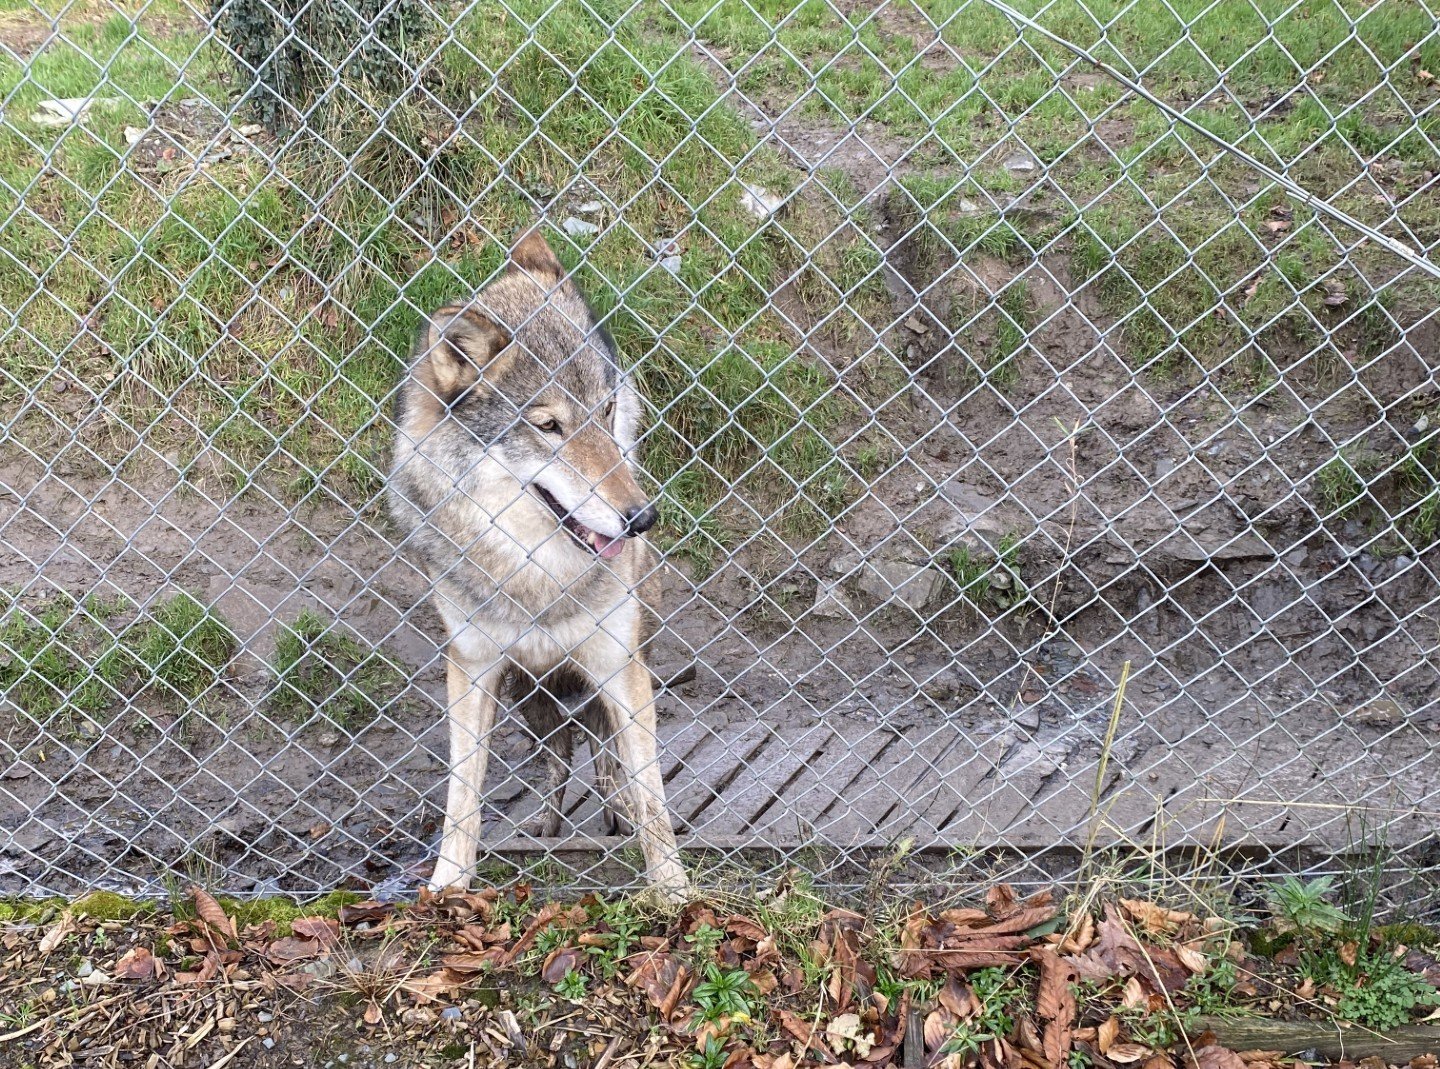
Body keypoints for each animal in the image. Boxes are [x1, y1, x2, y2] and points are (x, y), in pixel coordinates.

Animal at [388, 229, 689, 900]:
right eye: (549, 426)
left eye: (606, 411)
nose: (642, 518)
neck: (537, 577)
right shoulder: (472, 667)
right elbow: (462, 796)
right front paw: (448, 887)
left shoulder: (618, 664)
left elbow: (653, 795)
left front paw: (677, 894)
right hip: (529, 696)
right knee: (561, 754)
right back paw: (550, 827)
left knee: (604, 753)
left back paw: (613, 814)